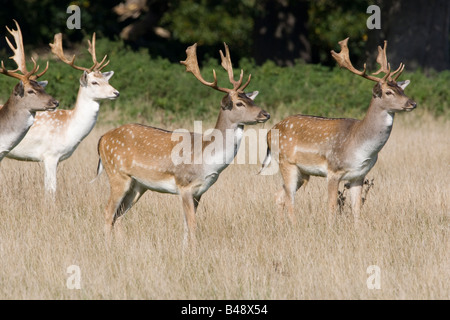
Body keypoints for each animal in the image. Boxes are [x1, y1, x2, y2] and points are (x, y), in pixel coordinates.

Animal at [7, 32, 119, 194]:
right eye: (94, 82)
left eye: (107, 80)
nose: (116, 93)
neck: (70, 128)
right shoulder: (50, 155)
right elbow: (51, 189)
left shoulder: (56, 159)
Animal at [96, 43, 268, 245]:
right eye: (240, 103)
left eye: (251, 99)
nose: (265, 114)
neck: (207, 159)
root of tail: (102, 139)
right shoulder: (184, 184)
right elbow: (192, 225)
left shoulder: (200, 191)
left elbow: (186, 226)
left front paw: (185, 248)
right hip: (117, 175)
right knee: (108, 212)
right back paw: (107, 246)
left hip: (138, 185)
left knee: (120, 215)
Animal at [258, 38, 416, 225]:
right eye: (389, 92)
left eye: (402, 90)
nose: (412, 103)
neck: (360, 145)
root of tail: (269, 132)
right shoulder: (333, 170)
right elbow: (332, 206)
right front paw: (331, 228)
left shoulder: (359, 175)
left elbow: (357, 208)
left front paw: (358, 229)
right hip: (286, 163)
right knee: (289, 199)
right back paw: (294, 226)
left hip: (302, 172)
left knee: (279, 196)